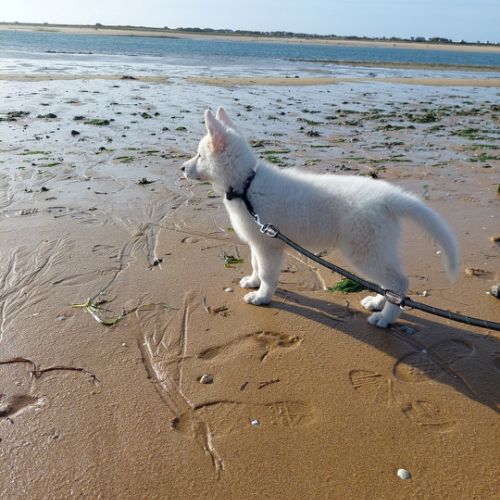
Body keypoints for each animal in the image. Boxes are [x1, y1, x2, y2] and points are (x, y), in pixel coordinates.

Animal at [181, 107, 459, 328]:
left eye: (199, 156)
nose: (182, 168)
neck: (247, 184)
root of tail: (389, 197)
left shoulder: (269, 245)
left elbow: (268, 274)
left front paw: (262, 297)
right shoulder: (259, 241)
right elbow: (255, 265)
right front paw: (252, 281)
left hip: (365, 250)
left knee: (398, 281)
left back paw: (385, 318)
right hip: (377, 249)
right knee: (389, 282)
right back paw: (378, 303)